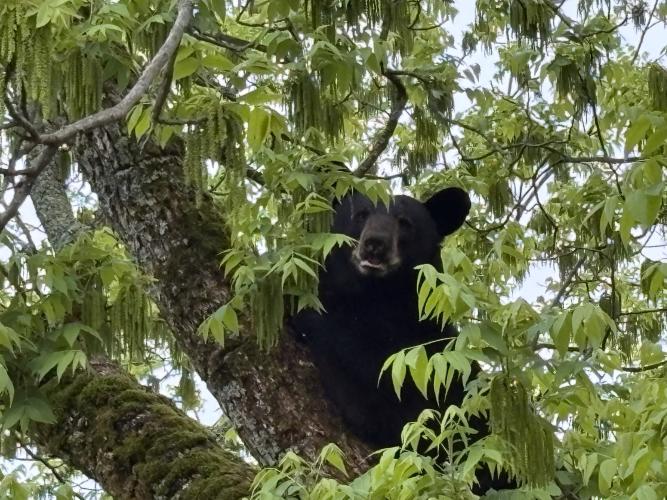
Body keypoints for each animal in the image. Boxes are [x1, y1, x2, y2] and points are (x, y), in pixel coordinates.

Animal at [291, 187, 515, 494]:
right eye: (361, 214)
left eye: (404, 222)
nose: (375, 244)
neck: (379, 295)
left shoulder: (411, 357)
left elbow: (365, 368)